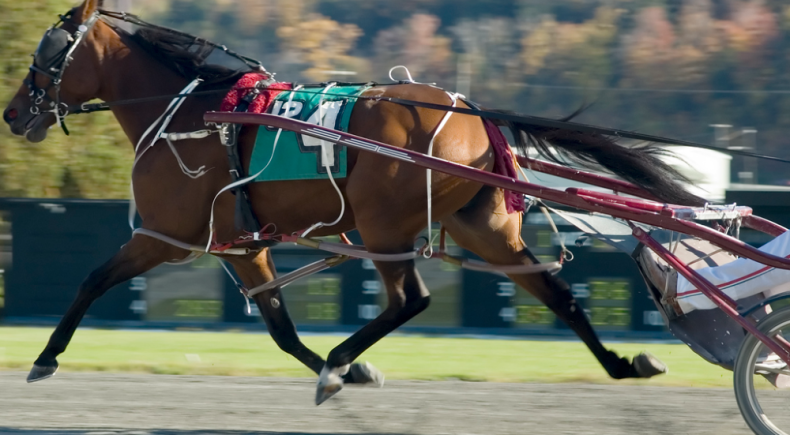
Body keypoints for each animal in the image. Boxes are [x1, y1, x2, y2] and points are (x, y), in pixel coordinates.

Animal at [1, 0, 704, 406]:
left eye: (46, 53)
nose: (13, 113)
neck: (194, 113)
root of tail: (474, 112)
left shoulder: (164, 235)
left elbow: (92, 280)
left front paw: (43, 358)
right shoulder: (242, 245)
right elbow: (280, 326)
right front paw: (348, 373)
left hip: (383, 221)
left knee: (410, 299)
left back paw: (341, 360)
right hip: (479, 226)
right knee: (555, 292)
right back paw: (623, 365)